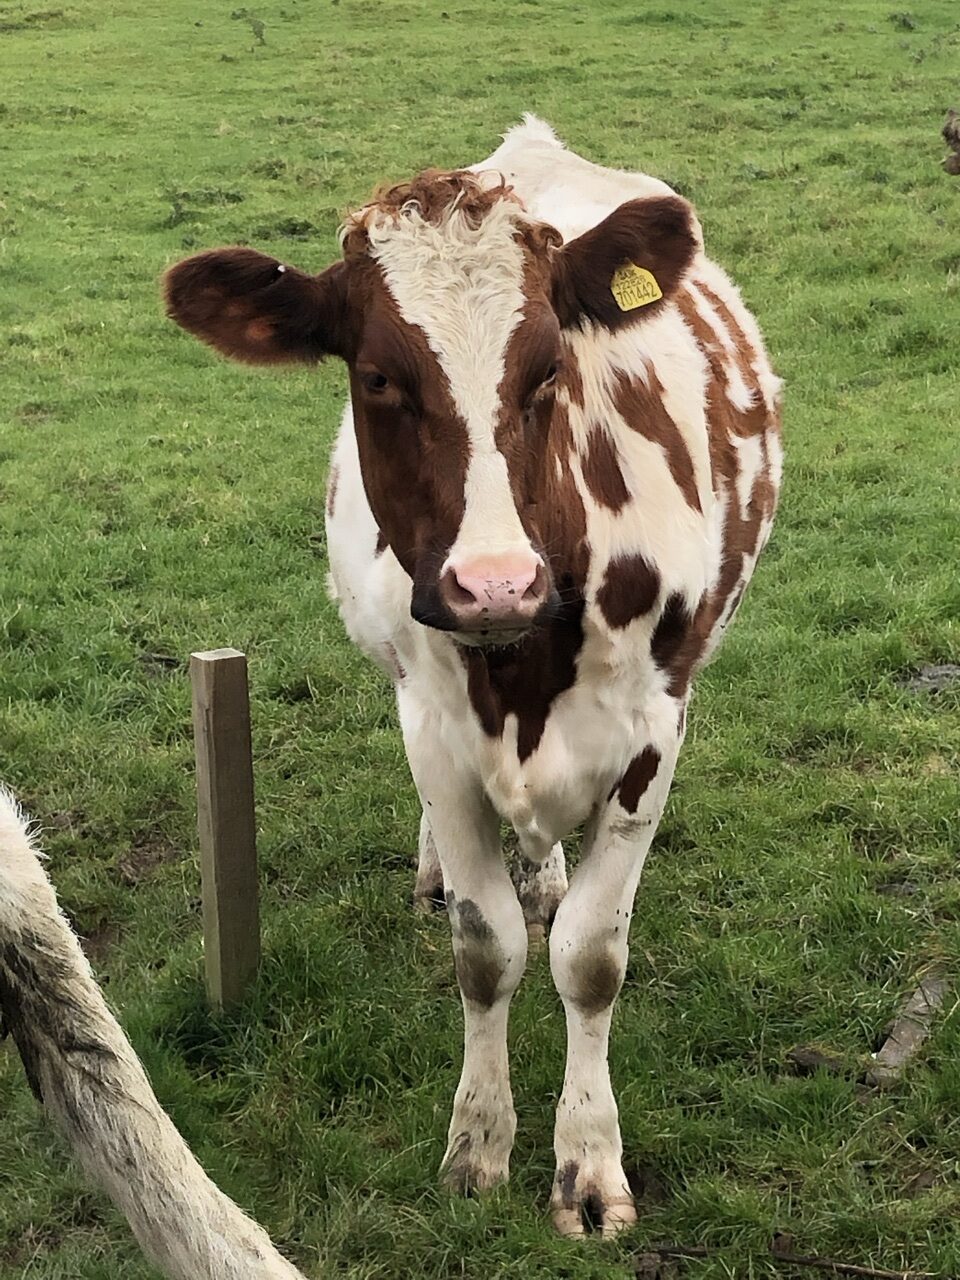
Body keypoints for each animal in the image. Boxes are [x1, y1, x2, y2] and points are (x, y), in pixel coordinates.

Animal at [165, 115, 783, 1233]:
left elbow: (589, 955)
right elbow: (486, 945)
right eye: (377, 377)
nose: (494, 583)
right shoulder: (437, 732)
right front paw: (478, 1145)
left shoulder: (654, 732)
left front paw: (588, 1166)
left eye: (549, 369)